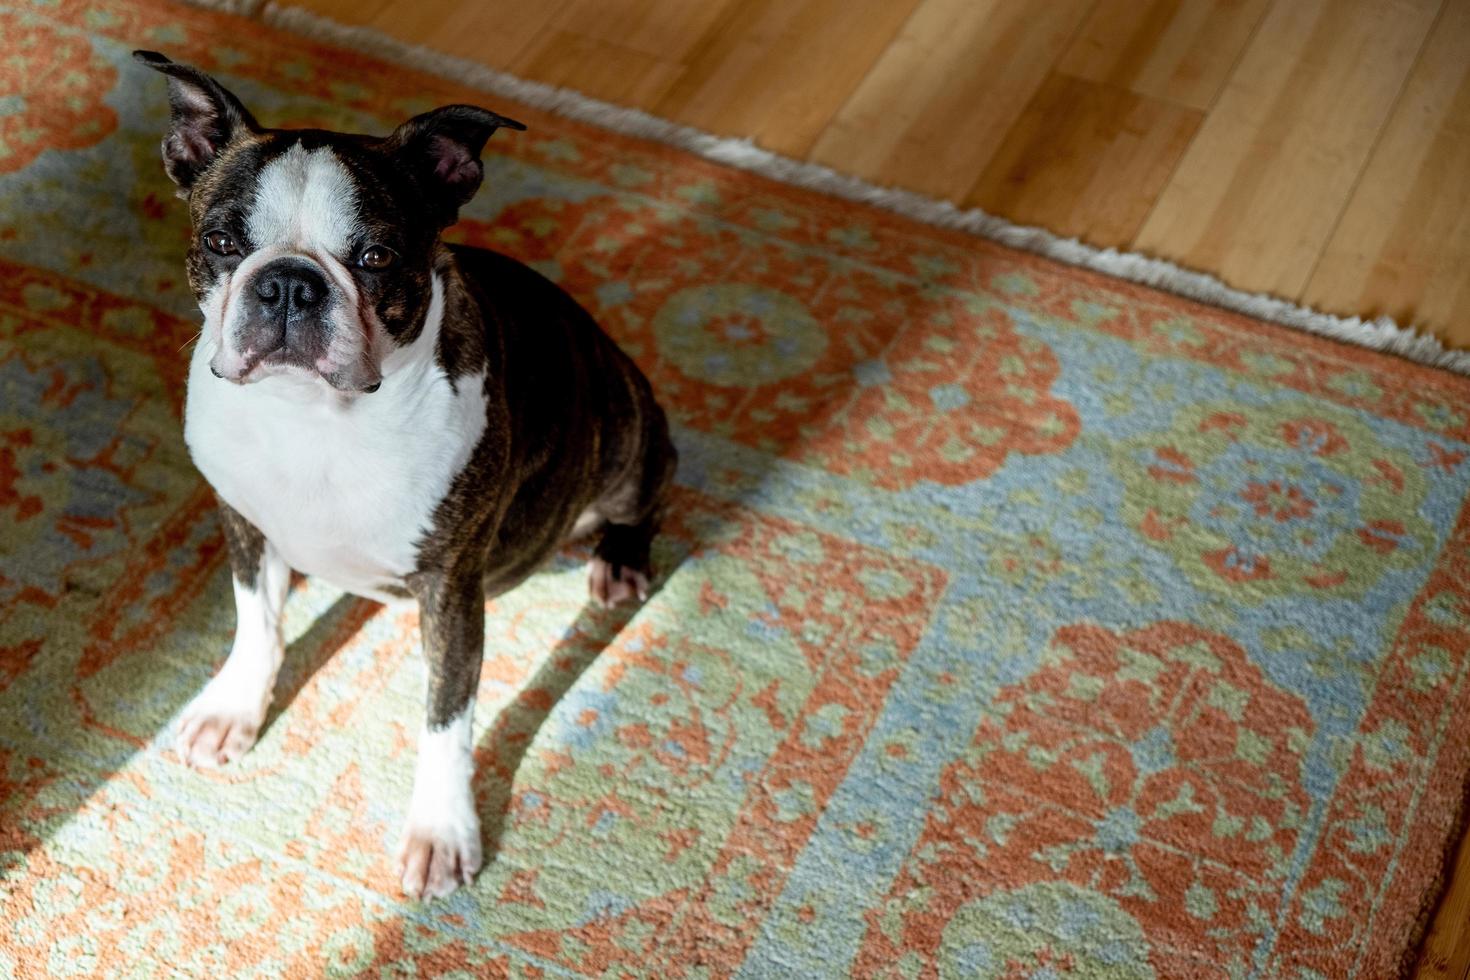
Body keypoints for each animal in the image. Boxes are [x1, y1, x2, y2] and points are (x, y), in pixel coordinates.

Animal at [138, 49, 676, 899]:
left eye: (376, 257)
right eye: (222, 240)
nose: (287, 282)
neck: (316, 419)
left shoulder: (451, 589)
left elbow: (446, 717)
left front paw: (441, 830)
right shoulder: (244, 523)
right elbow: (256, 625)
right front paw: (234, 709)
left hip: (628, 433)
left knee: (650, 490)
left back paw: (620, 559)